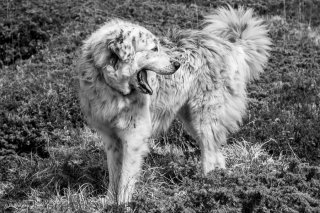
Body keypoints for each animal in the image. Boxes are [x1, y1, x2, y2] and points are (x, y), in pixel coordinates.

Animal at [77, 5, 270, 204]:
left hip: (204, 119)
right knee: (218, 155)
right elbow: (114, 176)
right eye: (154, 49)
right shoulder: (110, 138)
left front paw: (123, 205)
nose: (177, 64)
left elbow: (125, 179)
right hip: (192, 120)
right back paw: (219, 184)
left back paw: (207, 187)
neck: (111, 86)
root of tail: (230, 46)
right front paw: (108, 203)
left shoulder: (134, 136)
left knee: (209, 156)